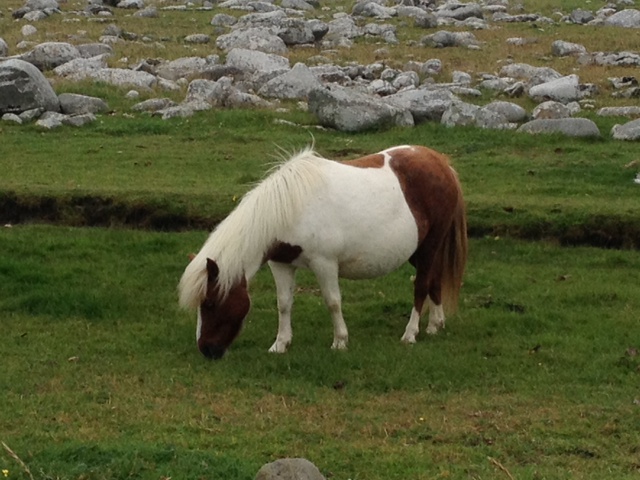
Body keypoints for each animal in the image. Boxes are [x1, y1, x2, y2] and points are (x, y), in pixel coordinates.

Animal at [178, 144, 468, 358]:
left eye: (210, 303)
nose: (206, 349)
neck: (289, 208)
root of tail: (440, 162)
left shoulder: (324, 263)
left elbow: (332, 301)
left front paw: (340, 341)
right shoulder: (280, 264)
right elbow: (284, 303)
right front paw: (280, 344)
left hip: (430, 246)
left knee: (421, 285)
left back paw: (411, 334)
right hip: (420, 252)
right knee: (434, 281)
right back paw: (435, 325)